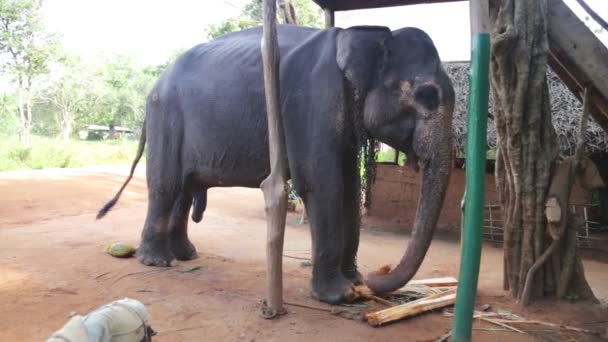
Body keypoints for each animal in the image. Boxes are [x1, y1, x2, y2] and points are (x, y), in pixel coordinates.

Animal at [97, 23, 454, 302]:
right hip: (166, 116)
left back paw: (186, 255)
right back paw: (159, 263)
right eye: (427, 96)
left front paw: (353, 283)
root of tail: (157, 82)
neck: (369, 37)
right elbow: (321, 183)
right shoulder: (311, 100)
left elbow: (350, 188)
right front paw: (340, 296)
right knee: (167, 185)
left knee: (185, 189)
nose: (374, 277)